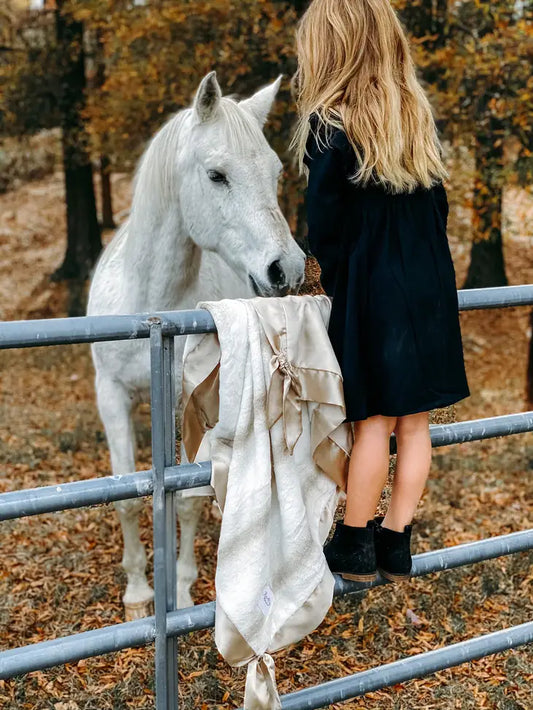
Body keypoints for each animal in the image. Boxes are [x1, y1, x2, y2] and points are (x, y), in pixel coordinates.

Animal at [86, 69, 304, 620]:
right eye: (217, 175)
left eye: (274, 172)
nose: (287, 269)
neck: (150, 303)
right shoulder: (111, 395)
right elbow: (127, 496)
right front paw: (138, 594)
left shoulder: (190, 401)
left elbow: (184, 499)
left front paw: (180, 594)